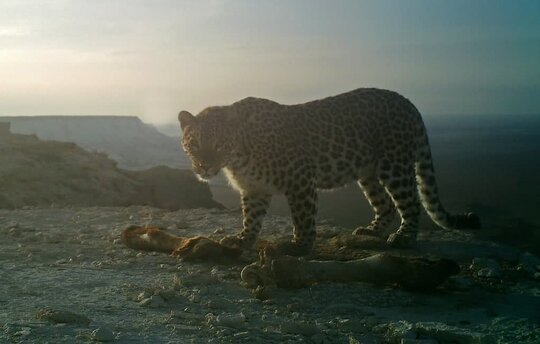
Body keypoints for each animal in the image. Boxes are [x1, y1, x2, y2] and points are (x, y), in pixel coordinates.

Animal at [179, 88, 478, 255]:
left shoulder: (299, 179)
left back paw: (404, 238)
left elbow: (303, 217)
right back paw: (372, 232)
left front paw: (300, 246)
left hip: (394, 165)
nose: (204, 166)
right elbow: (250, 218)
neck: (237, 157)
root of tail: (407, 102)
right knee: (386, 204)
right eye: (194, 144)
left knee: (412, 203)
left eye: (219, 144)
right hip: (367, 173)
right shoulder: (255, 188)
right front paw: (242, 240)